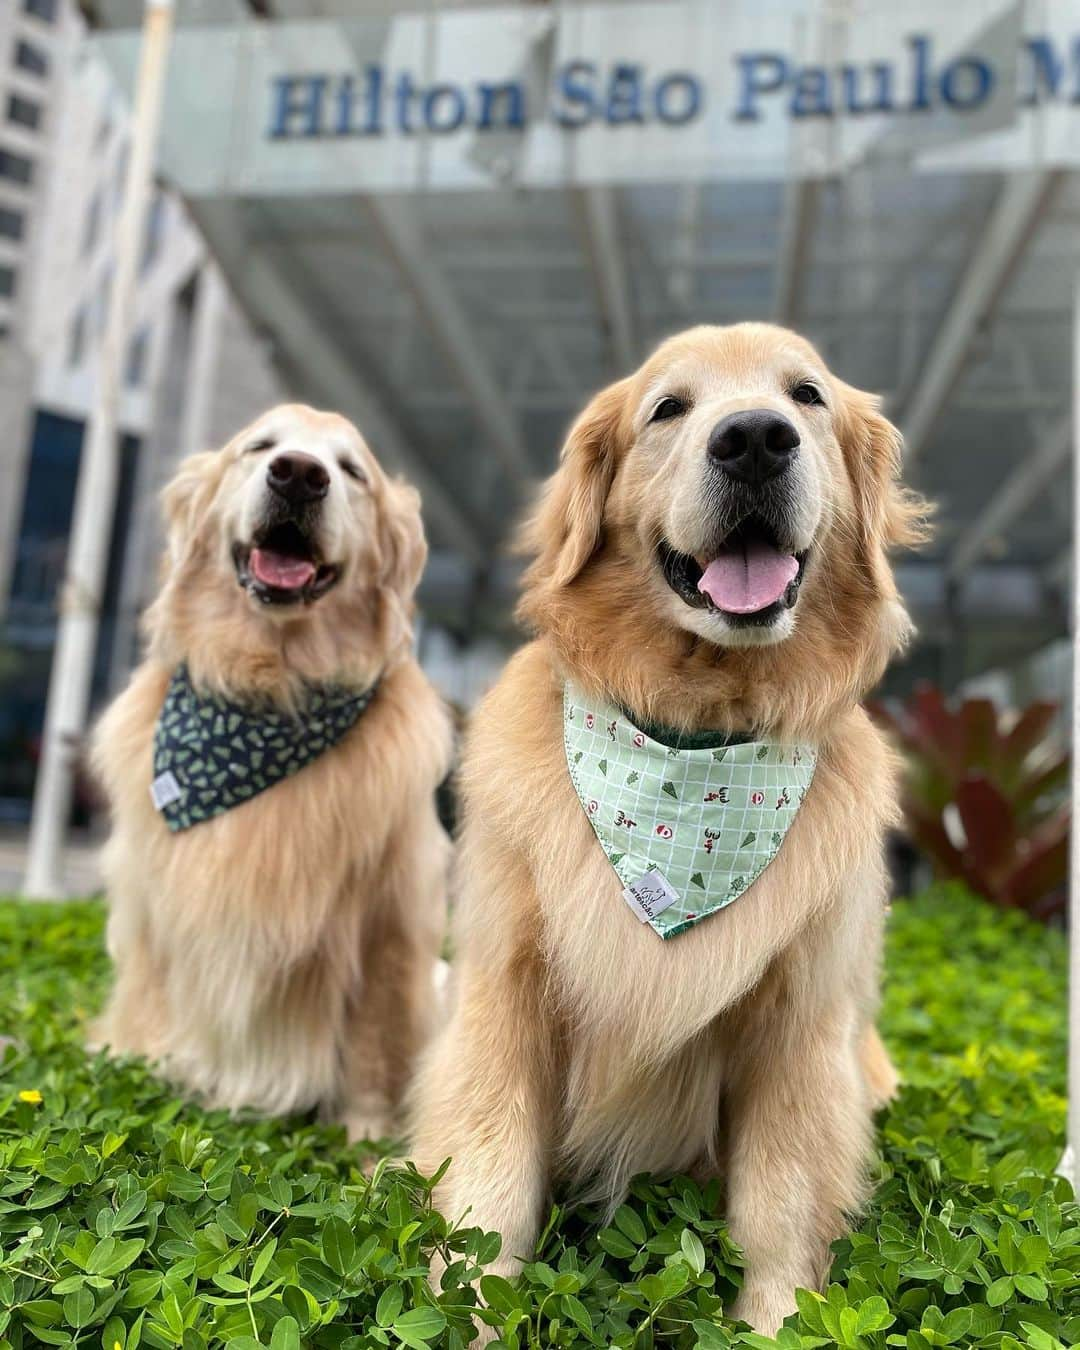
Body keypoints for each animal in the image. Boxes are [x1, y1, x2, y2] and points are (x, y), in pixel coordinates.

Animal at [88, 402, 450, 1139]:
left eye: (351, 470)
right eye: (259, 447)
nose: (300, 475)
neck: (271, 684)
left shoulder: (391, 916)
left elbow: (374, 1039)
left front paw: (367, 1135)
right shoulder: (153, 899)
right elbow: (147, 1003)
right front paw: (136, 1076)